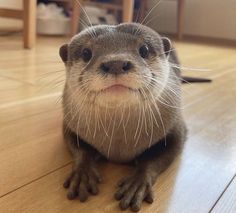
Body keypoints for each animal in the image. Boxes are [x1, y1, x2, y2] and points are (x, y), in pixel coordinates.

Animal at [60, 23, 187, 211]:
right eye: (86, 53)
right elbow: (78, 149)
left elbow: (162, 154)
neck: (119, 141)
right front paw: (83, 173)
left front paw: (138, 182)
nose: (116, 63)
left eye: (144, 49)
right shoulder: (70, 123)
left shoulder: (176, 127)